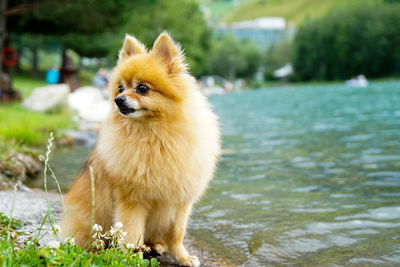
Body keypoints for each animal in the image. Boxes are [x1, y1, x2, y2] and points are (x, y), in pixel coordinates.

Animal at [61, 31, 220, 267]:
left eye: (142, 88)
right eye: (119, 88)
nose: (118, 100)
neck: (154, 135)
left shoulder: (181, 201)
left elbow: (177, 234)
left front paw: (183, 257)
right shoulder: (132, 201)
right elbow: (131, 234)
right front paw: (132, 258)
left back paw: (155, 245)